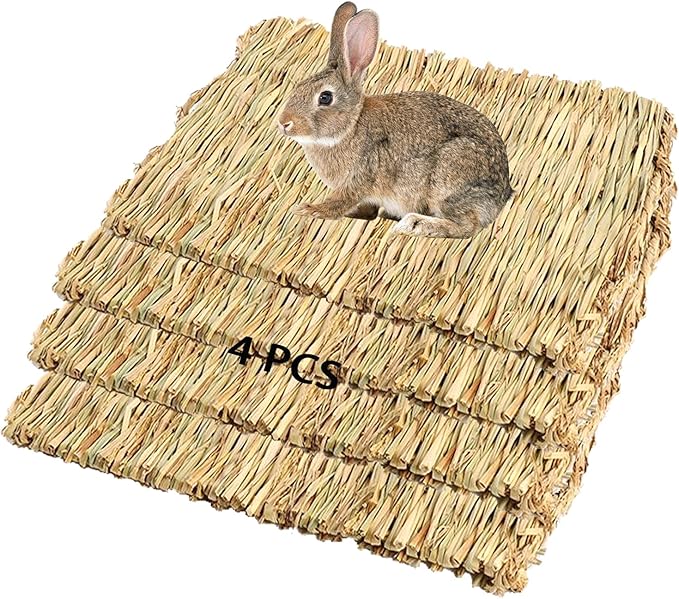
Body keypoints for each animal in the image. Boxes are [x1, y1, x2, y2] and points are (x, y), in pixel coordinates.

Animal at [277, 2, 513, 238]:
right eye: (299, 87)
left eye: (325, 97)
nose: (284, 122)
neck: (350, 127)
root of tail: (502, 193)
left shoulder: (360, 178)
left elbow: (340, 203)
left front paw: (308, 210)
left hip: (448, 180)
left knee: (467, 227)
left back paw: (414, 224)